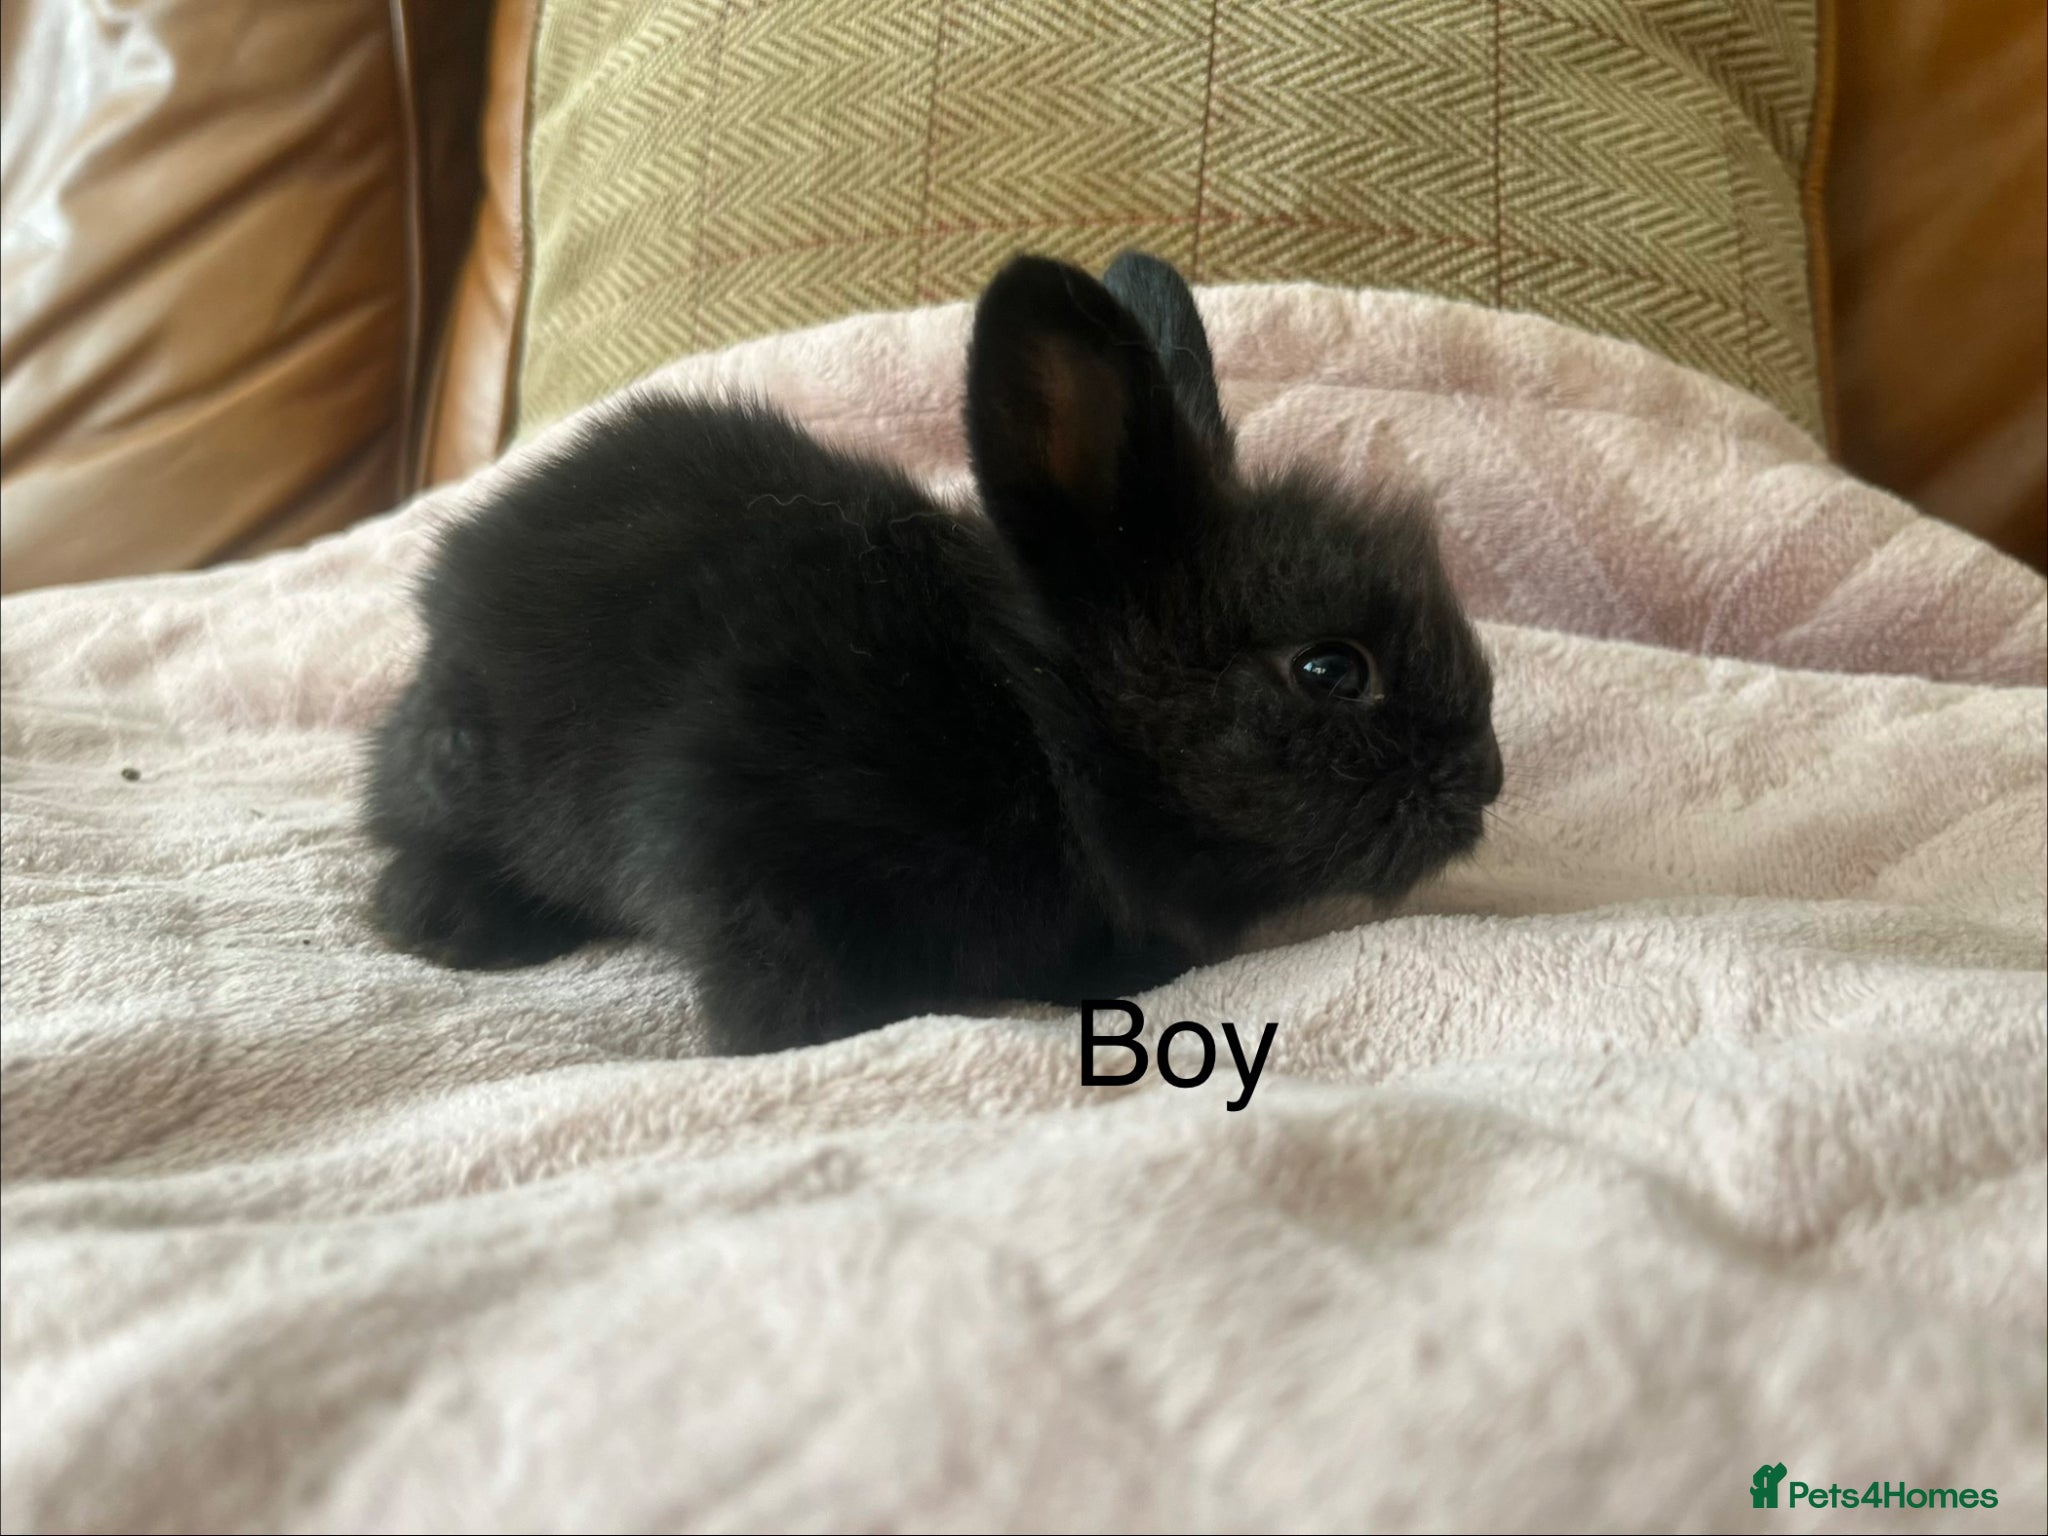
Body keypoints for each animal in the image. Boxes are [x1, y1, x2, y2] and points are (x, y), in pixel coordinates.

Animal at [364, 251, 1502, 1055]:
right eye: (1329, 669)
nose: (1487, 779)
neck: (1032, 721)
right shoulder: (736, 825)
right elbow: (775, 968)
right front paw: (792, 1038)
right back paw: (451, 920)